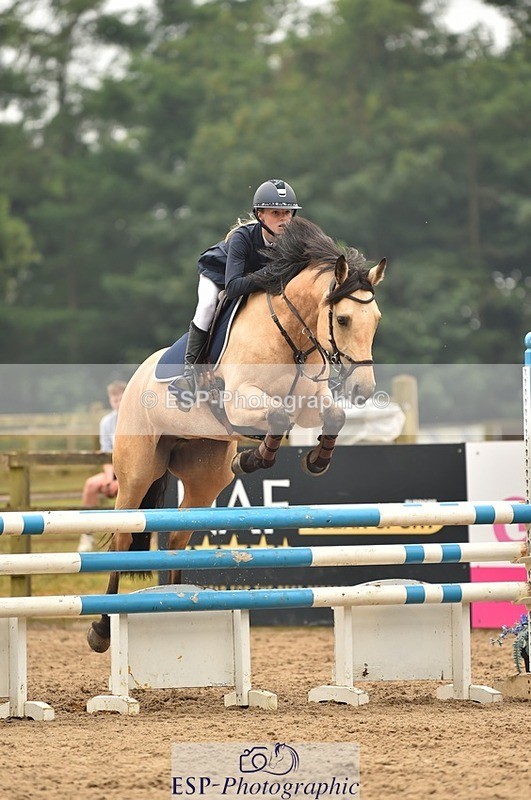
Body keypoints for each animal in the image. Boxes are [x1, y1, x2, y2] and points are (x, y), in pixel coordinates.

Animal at [87, 216, 386, 653]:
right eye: (344, 319)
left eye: (376, 319)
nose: (363, 390)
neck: (290, 335)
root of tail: (134, 379)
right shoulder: (241, 400)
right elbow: (277, 415)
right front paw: (253, 458)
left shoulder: (310, 400)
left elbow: (331, 416)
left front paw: (314, 460)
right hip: (136, 472)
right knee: (123, 541)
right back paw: (102, 629)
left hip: (204, 477)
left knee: (177, 540)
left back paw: (178, 602)